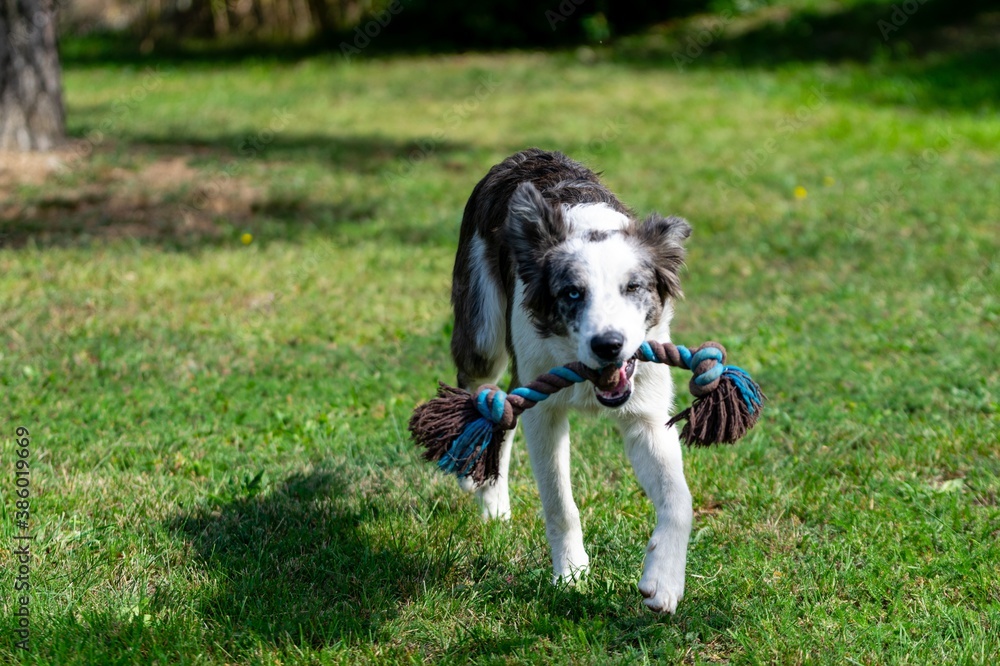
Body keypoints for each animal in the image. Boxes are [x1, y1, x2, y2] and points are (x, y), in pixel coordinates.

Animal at [450, 148, 692, 608]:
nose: (608, 345)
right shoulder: (543, 409)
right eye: (572, 293)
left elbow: (679, 500)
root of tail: (523, 154)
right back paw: (488, 497)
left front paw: (663, 582)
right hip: (483, 334)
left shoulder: (647, 415)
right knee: (486, 399)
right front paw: (572, 574)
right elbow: (560, 502)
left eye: (633, 288)